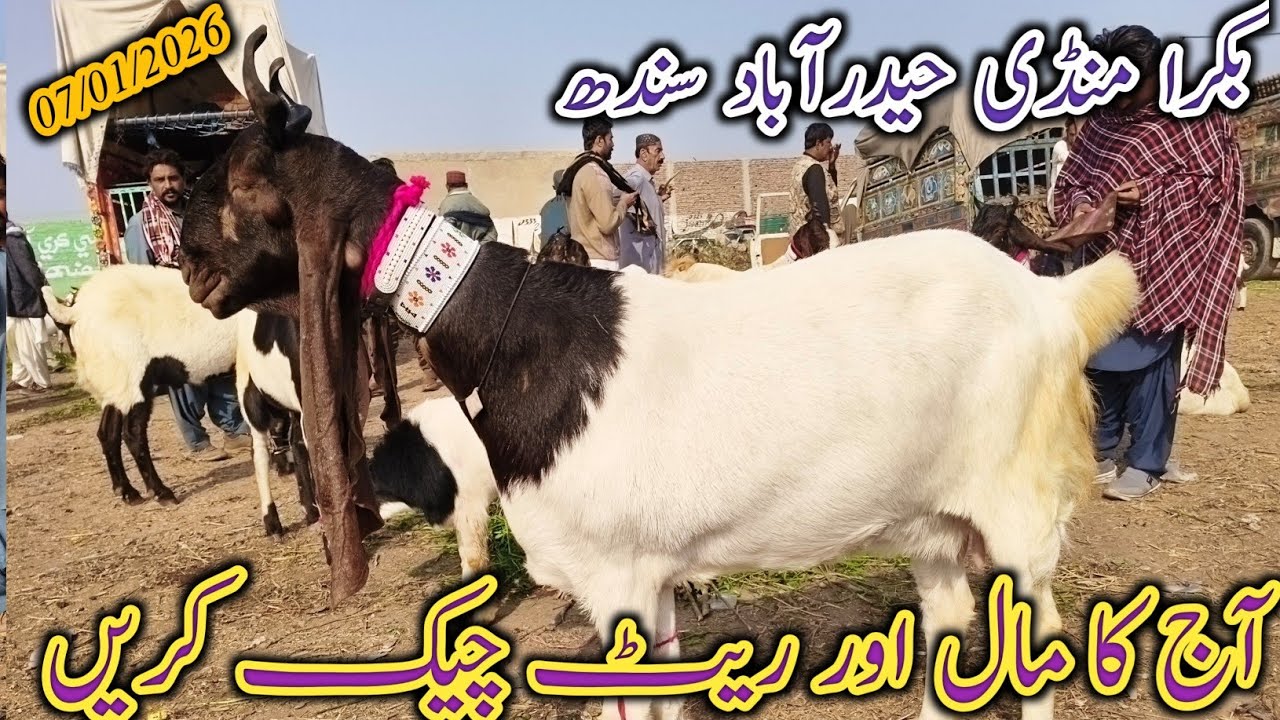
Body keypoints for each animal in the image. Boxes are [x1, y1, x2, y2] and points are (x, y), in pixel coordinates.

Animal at [41, 265, 239, 505]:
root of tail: (77, 311)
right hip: (133, 378)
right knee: (133, 435)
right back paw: (161, 492)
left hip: (116, 383)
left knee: (107, 433)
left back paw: (127, 491)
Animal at [177, 28, 1142, 719]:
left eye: (243, 180)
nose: (186, 262)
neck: (511, 332)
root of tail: (1052, 299)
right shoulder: (651, 572)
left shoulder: (614, 572)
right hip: (935, 524)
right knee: (949, 625)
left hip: (1018, 507)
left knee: (1037, 642)